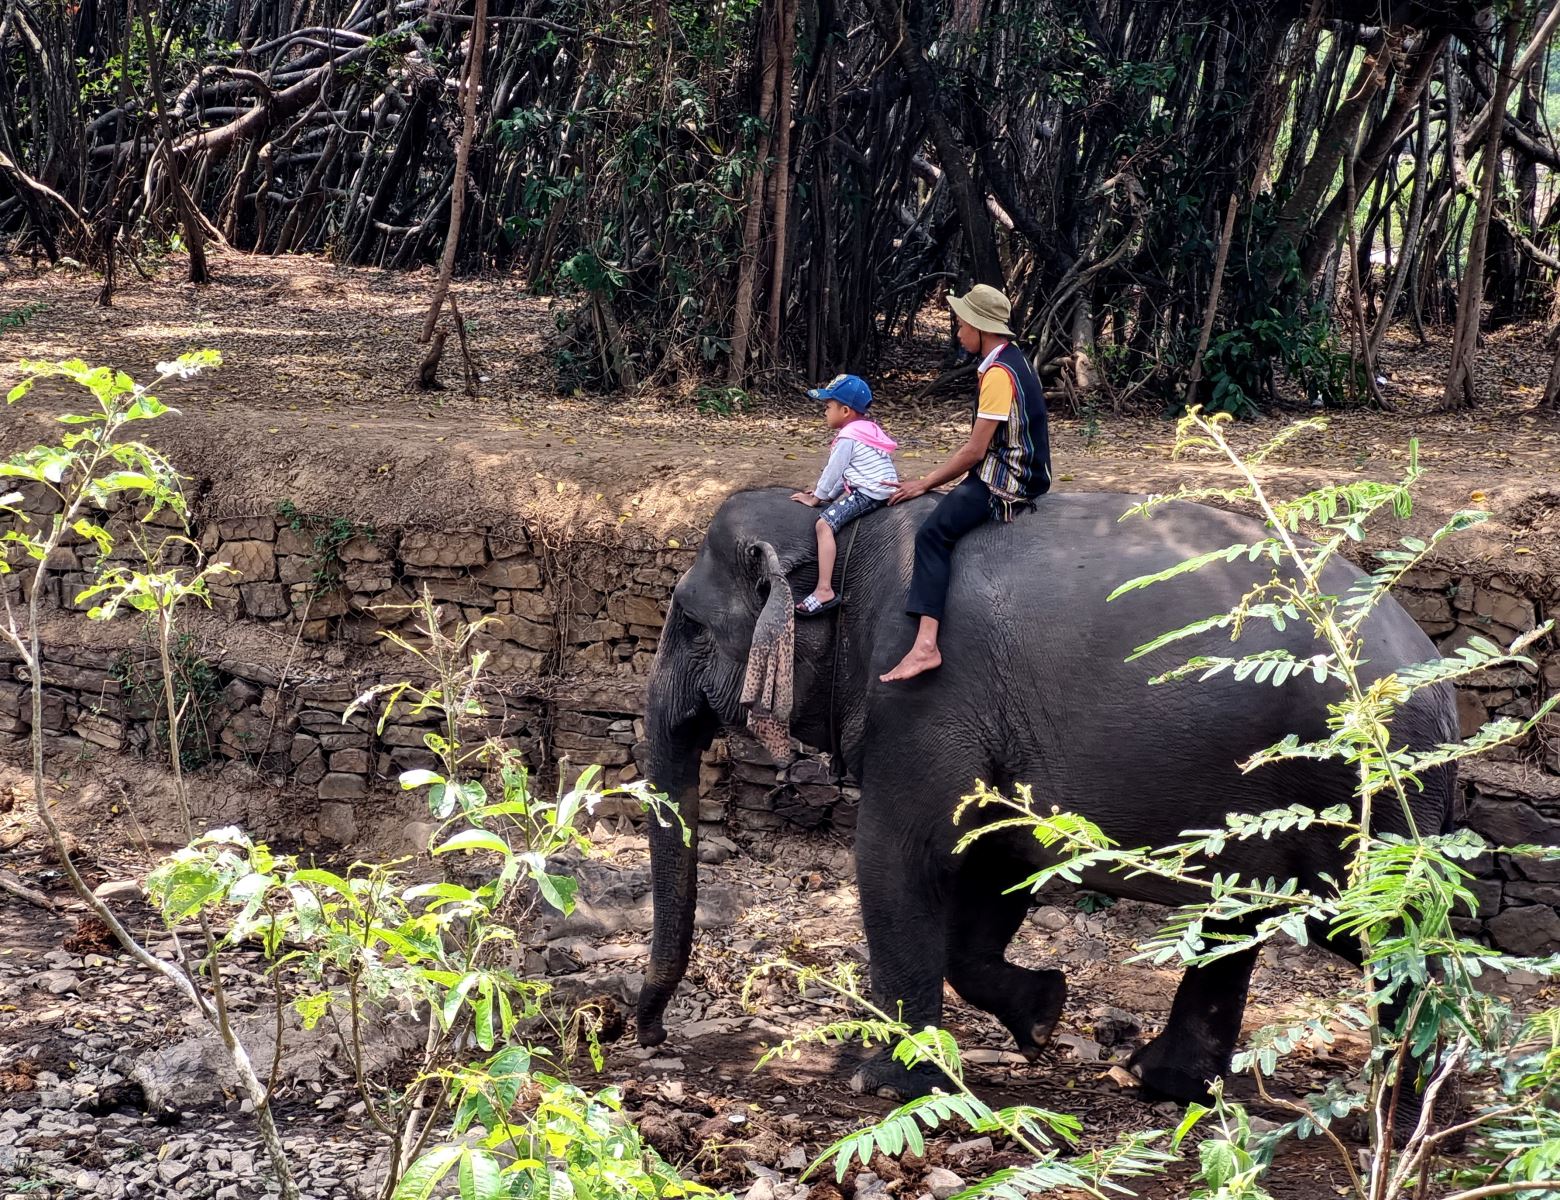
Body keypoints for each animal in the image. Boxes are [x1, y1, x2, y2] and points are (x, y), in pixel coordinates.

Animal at [636, 480, 1460, 1098]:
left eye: (692, 626)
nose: (646, 1037)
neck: (851, 533)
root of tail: (1442, 677)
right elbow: (995, 864)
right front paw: (1042, 1018)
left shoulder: (922, 690)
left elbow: (901, 857)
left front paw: (884, 1084)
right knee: (1256, 914)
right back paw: (1163, 1082)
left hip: (1364, 784)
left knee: (1379, 924)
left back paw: (1403, 1091)